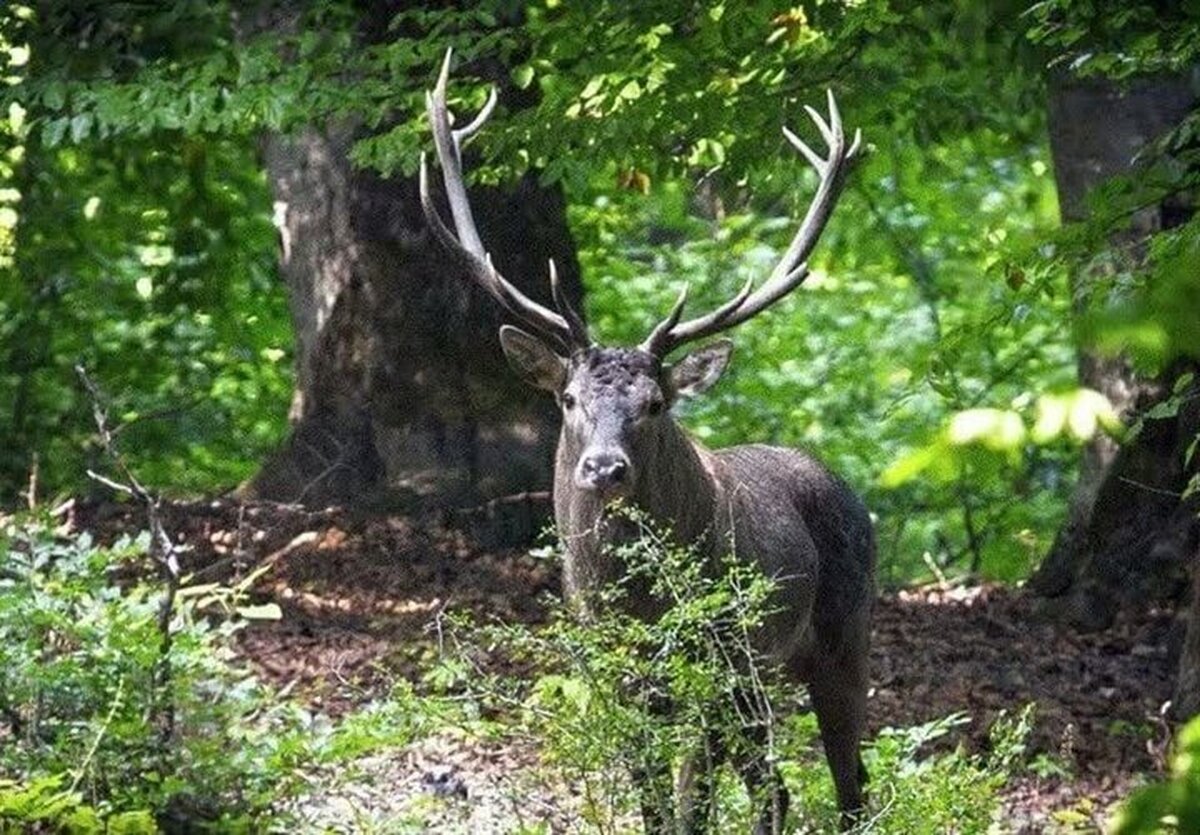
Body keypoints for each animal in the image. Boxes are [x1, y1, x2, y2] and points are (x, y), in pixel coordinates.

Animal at [417, 50, 878, 830]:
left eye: (656, 402)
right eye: (569, 398)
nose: (604, 468)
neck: (633, 599)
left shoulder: (716, 655)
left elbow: (692, 798)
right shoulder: (613, 666)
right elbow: (656, 795)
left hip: (838, 638)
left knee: (844, 786)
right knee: (777, 785)